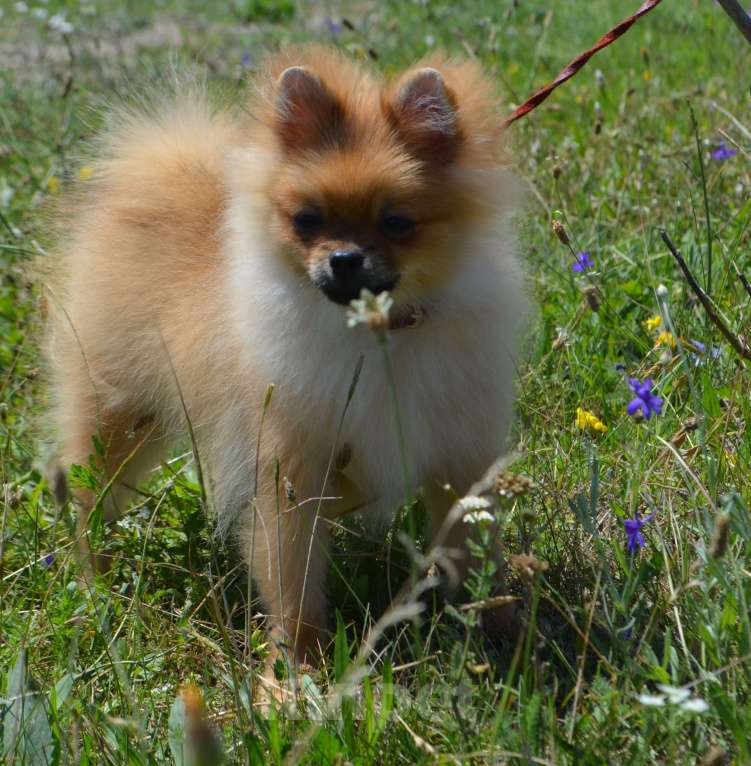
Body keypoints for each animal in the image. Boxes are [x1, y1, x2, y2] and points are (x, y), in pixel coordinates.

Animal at [47, 45, 524, 664]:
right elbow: (292, 573)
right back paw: (94, 581)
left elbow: (472, 547)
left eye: (397, 223)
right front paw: (298, 664)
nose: (344, 258)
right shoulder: (289, 467)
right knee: (90, 500)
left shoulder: (456, 455)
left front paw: (493, 621)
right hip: (117, 415)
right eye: (307, 220)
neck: (375, 333)